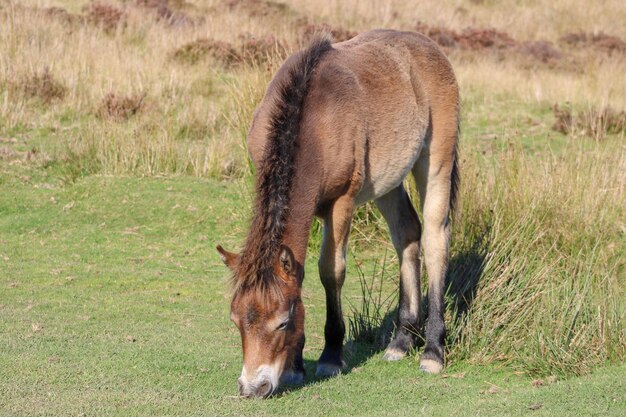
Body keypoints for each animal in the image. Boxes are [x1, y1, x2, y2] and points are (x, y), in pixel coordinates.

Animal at [216, 29, 458, 396]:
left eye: (282, 322)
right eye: (236, 320)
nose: (253, 387)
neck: (314, 122)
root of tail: (430, 47)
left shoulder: (341, 202)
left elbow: (332, 271)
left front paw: (331, 355)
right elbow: (301, 275)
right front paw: (295, 366)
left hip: (436, 162)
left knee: (433, 239)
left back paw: (432, 351)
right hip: (387, 182)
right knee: (406, 233)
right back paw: (401, 341)